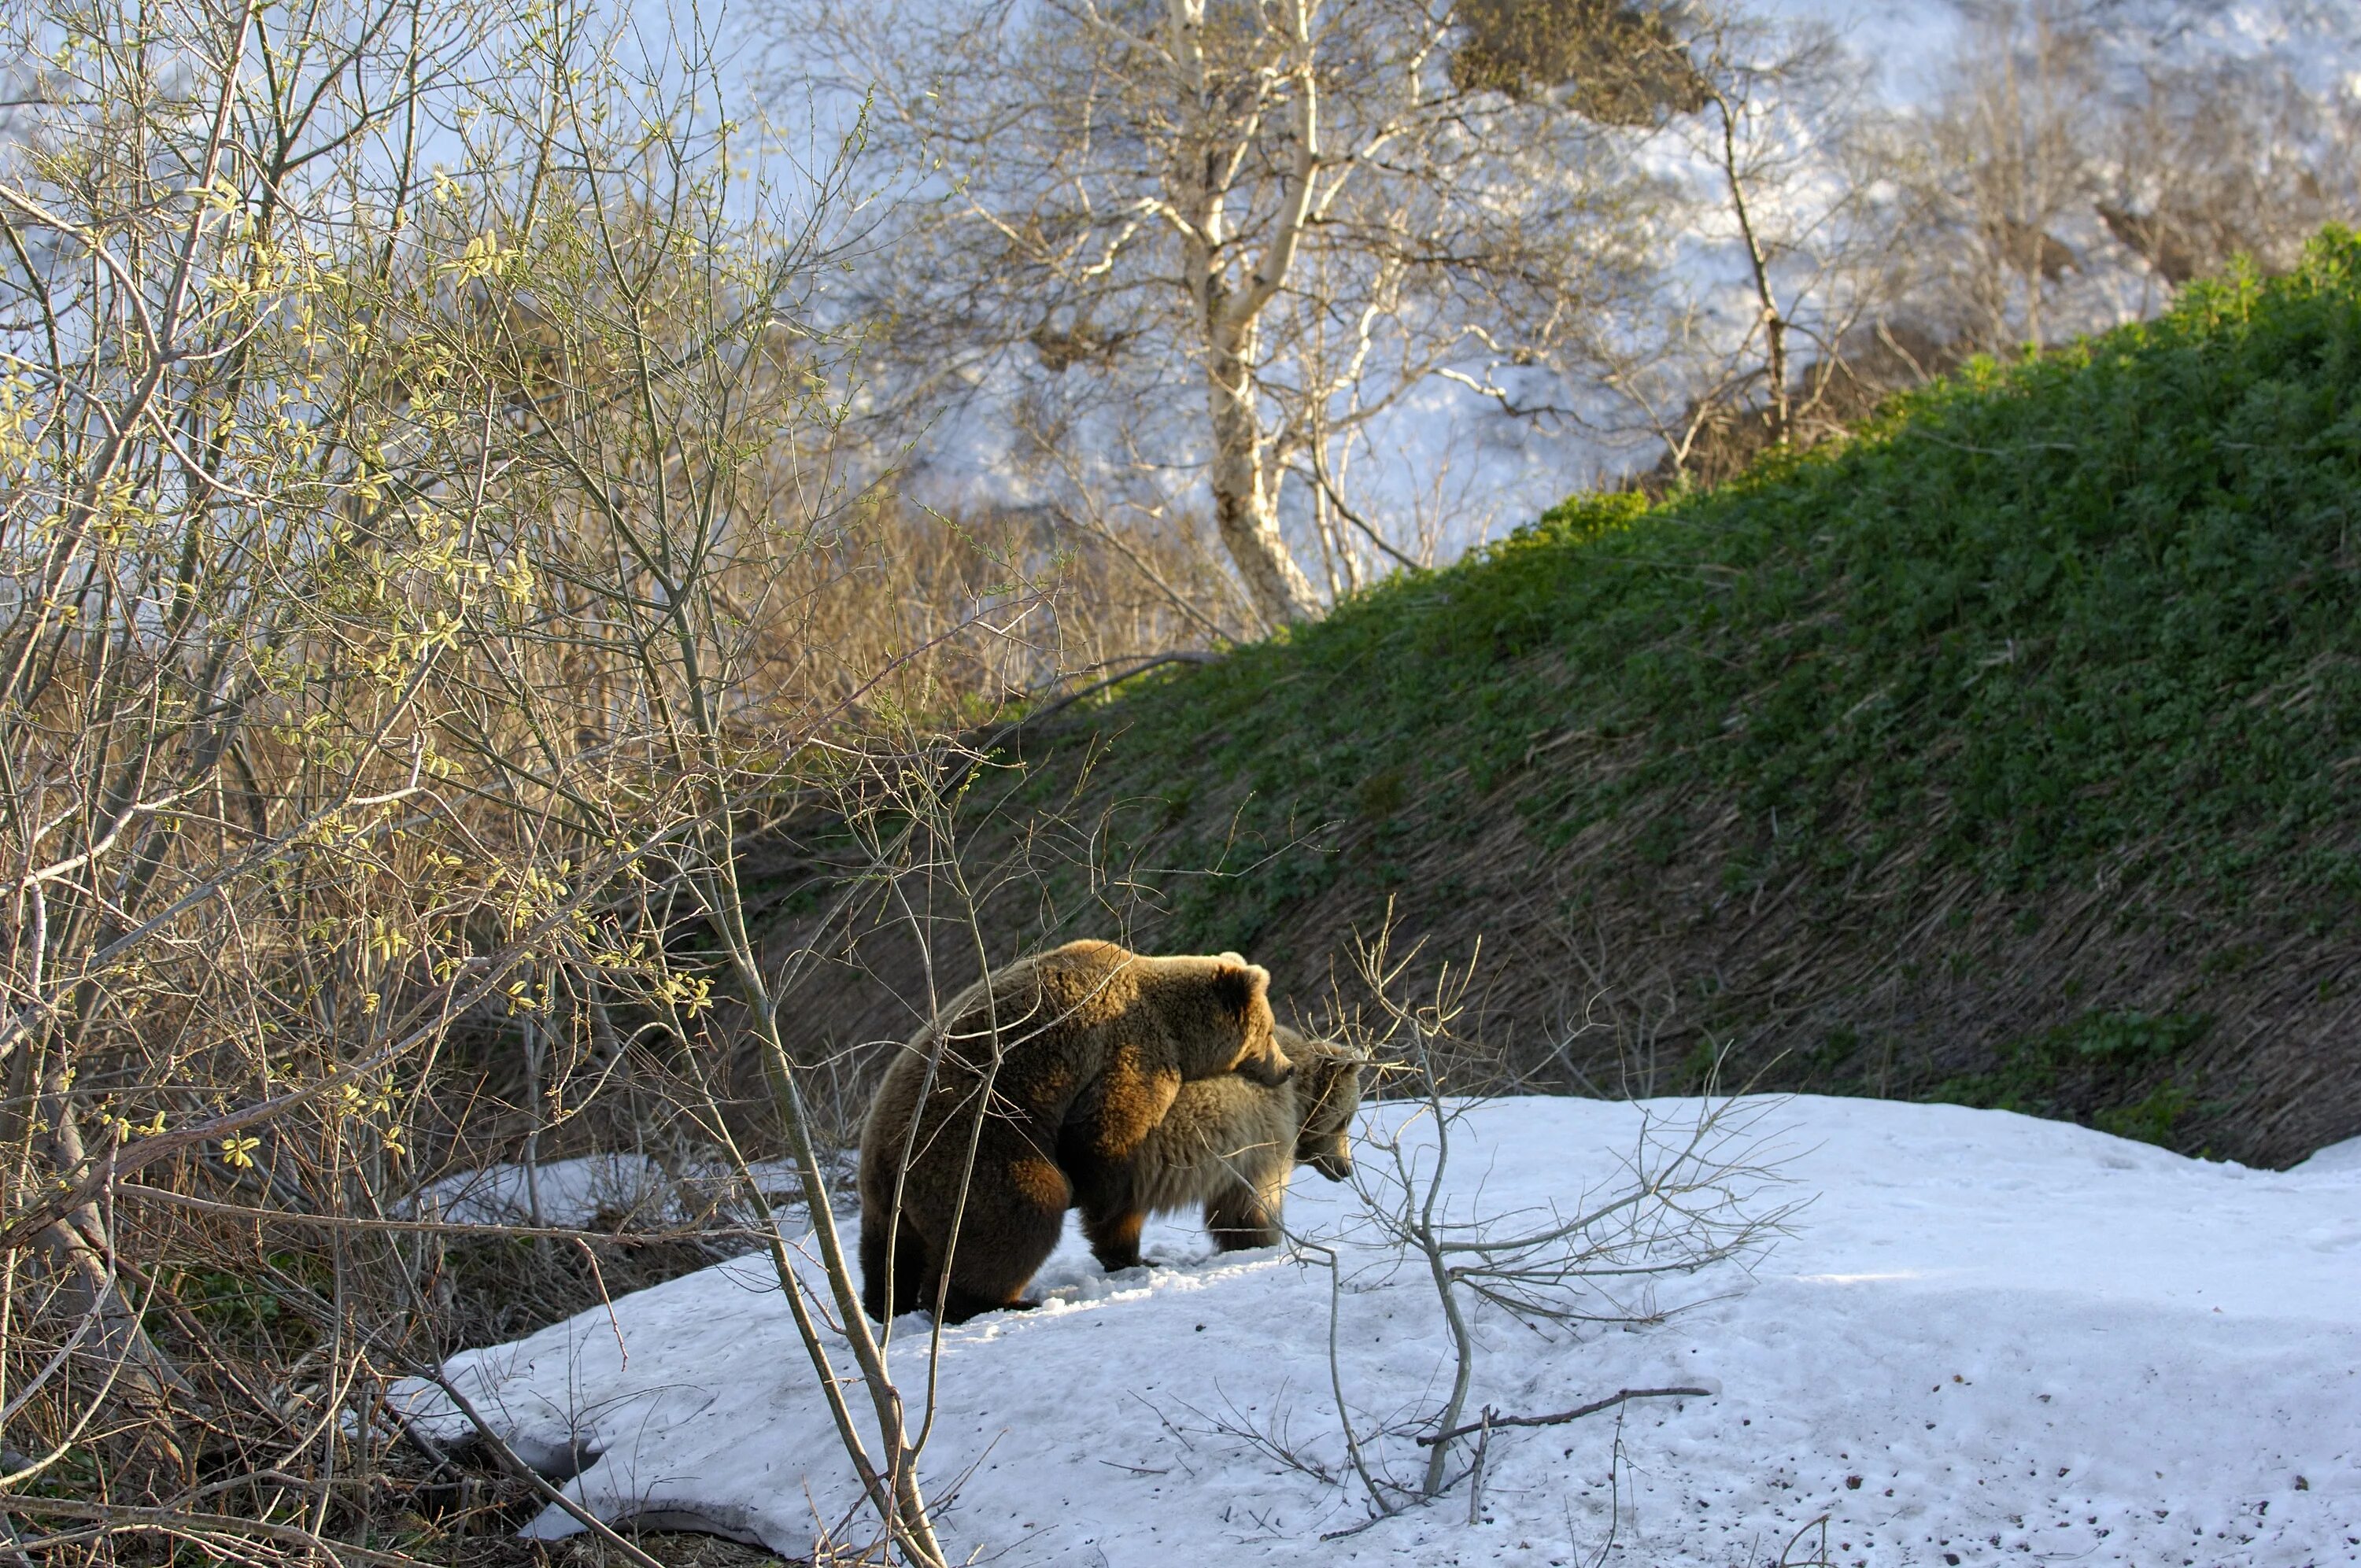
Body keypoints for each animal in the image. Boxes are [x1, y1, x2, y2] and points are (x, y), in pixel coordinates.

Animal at [855, 944, 1294, 1322]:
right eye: (1269, 1031)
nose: (1287, 1068)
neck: (1178, 1030)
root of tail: (887, 1163)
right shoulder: (1131, 1054)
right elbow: (1106, 1139)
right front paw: (1102, 1204)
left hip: (885, 1198)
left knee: (889, 1255)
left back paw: (888, 1304)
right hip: (972, 1149)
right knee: (1021, 1212)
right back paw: (992, 1302)